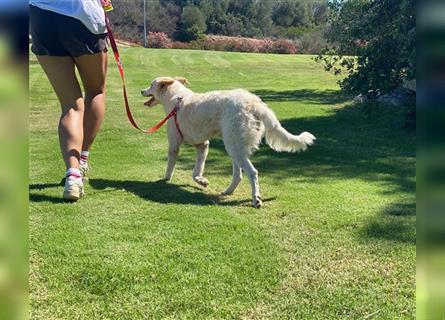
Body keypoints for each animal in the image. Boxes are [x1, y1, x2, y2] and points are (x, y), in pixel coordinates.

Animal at [140, 77, 314, 208]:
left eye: (151, 84)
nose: (141, 91)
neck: (176, 98)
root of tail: (254, 102)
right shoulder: (203, 145)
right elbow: (196, 171)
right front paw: (201, 181)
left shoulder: (174, 144)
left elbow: (170, 165)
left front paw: (165, 179)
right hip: (234, 147)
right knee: (238, 175)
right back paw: (228, 191)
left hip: (233, 147)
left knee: (252, 173)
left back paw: (256, 199)